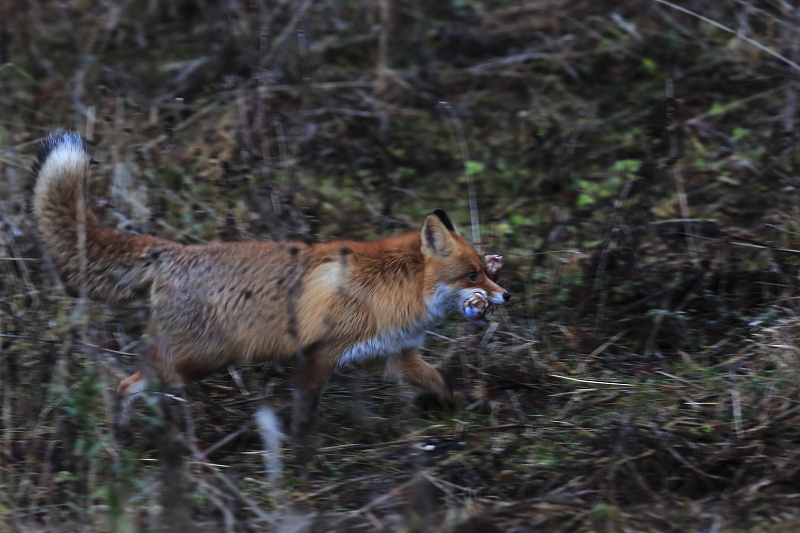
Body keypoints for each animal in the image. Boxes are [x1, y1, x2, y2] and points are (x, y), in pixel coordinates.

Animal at [31, 131, 512, 446]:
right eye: (472, 276)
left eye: (484, 272)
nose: (506, 297)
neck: (392, 286)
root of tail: (175, 251)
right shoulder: (321, 354)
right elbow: (304, 413)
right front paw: (299, 460)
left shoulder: (396, 354)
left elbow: (439, 382)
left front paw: (458, 409)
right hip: (198, 359)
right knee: (130, 381)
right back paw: (140, 437)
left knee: (131, 386)